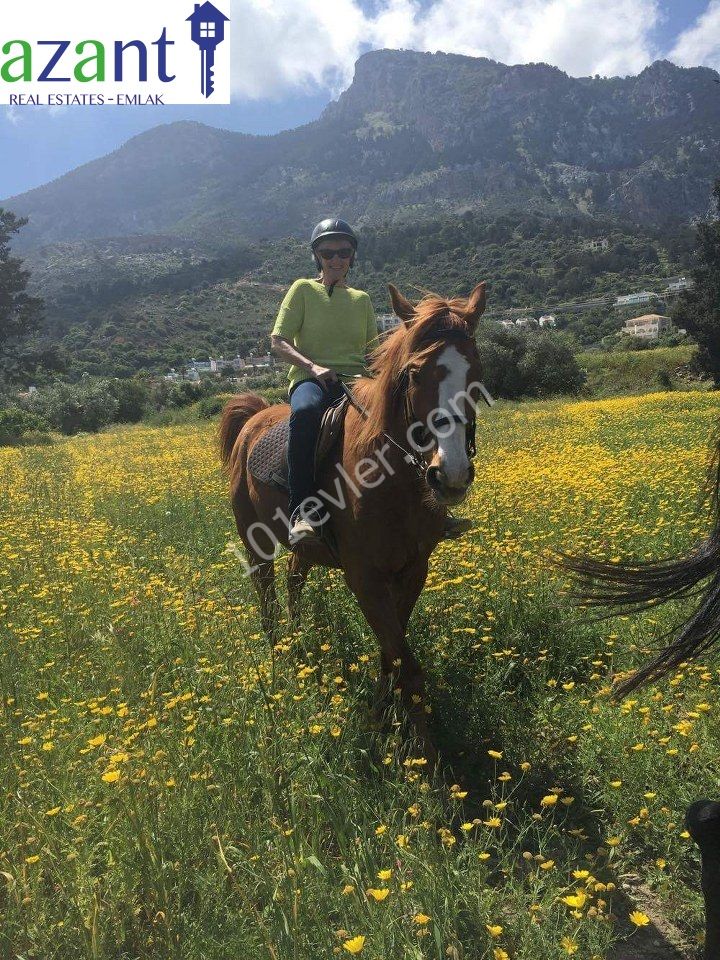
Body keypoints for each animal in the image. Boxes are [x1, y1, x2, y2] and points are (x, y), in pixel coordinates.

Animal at [217, 282, 486, 752]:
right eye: (416, 374)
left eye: (477, 371)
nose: (450, 475)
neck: (392, 478)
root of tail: (253, 417)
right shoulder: (363, 576)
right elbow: (407, 664)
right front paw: (425, 754)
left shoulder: (412, 571)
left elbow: (390, 654)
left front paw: (383, 717)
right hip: (254, 542)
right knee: (267, 599)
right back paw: (280, 662)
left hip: (304, 551)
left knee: (294, 580)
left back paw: (300, 648)